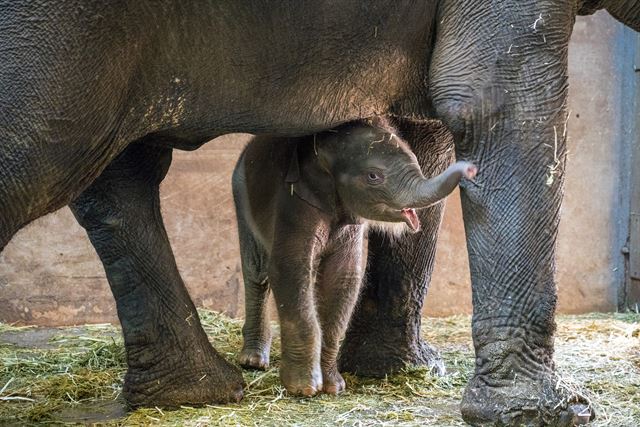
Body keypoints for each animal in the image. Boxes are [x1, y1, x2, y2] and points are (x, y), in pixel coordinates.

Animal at [231, 118, 476, 398]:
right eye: (373, 176)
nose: (471, 169)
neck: (322, 150)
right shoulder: (293, 204)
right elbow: (289, 270)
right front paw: (304, 388)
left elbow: (343, 279)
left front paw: (334, 387)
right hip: (240, 191)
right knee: (257, 272)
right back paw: (253, 361)